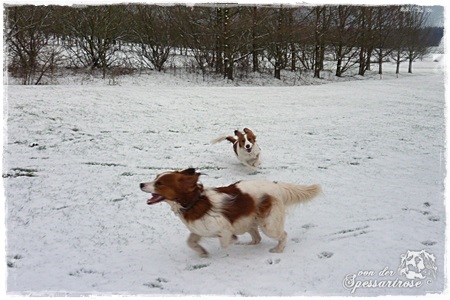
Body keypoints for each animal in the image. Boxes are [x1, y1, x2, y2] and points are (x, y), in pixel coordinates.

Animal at [141, 169, 320, 258]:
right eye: (156, 178)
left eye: (159, 183)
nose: (141, 184)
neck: (195, 202)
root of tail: (276, 186)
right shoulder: (198, 230)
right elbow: (190, 242)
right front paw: (202, 252)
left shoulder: (225, 227)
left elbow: (225, 241)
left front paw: (232, 240)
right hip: (251, 221)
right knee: (257, 238)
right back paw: (249, 244)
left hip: (268, 224)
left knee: (283, 235)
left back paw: (278, 250)